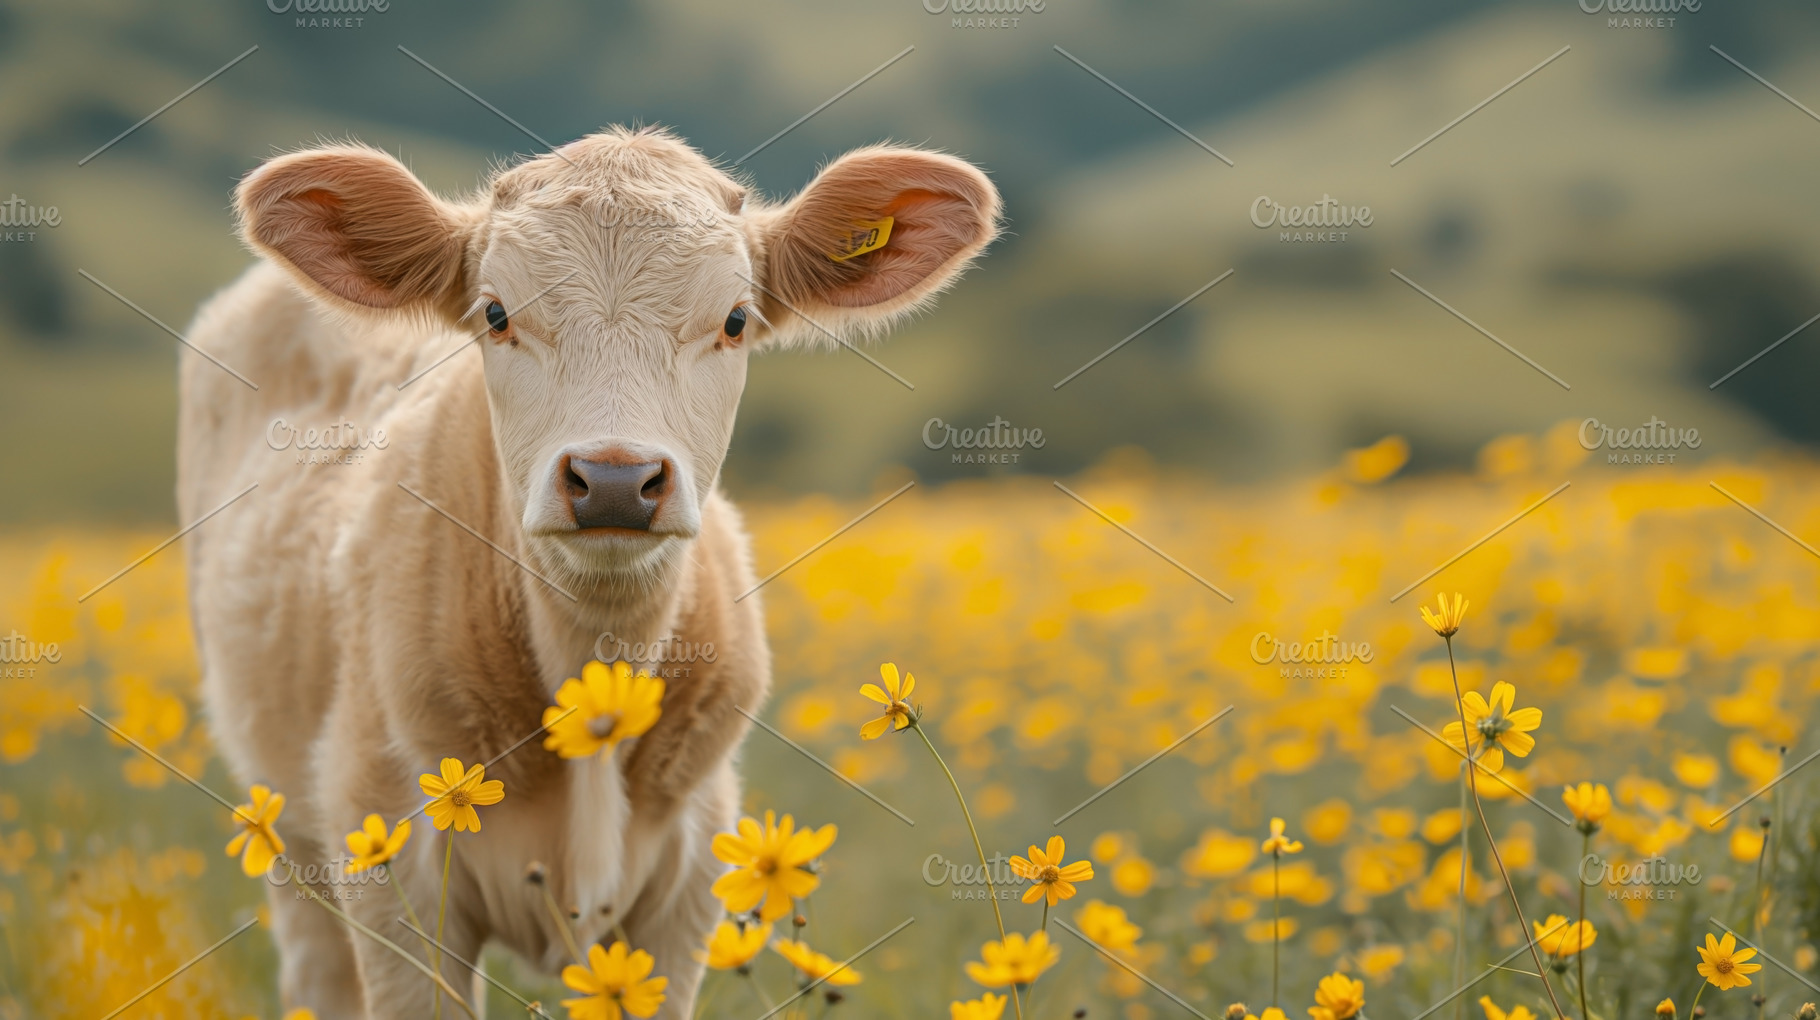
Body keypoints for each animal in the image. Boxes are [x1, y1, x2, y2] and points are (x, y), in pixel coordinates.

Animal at [177, 126, 1000, 1018]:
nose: (613, 479)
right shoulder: (388, 856)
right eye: (496, 314)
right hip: (289, 828)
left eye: (735, 320)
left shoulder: (691, 882)